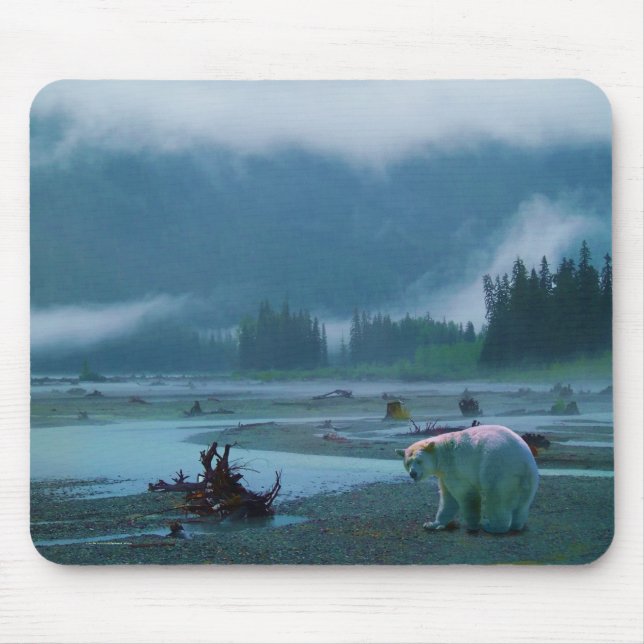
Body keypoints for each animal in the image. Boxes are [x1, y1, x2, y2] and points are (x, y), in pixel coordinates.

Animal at [395, 424, 538, 534]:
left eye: (419, 461)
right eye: (408, 463)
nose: (413, 474)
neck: (442, 452)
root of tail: (523, 463)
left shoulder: (454, 467)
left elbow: (465, 495)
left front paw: (472, 525)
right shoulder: (445, 474)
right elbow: (448, 498)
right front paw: (432, 524)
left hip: (497, 470)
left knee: (496, 500)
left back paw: (493, 527)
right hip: (528, 480)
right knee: (522, 505)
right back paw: (517, 525)